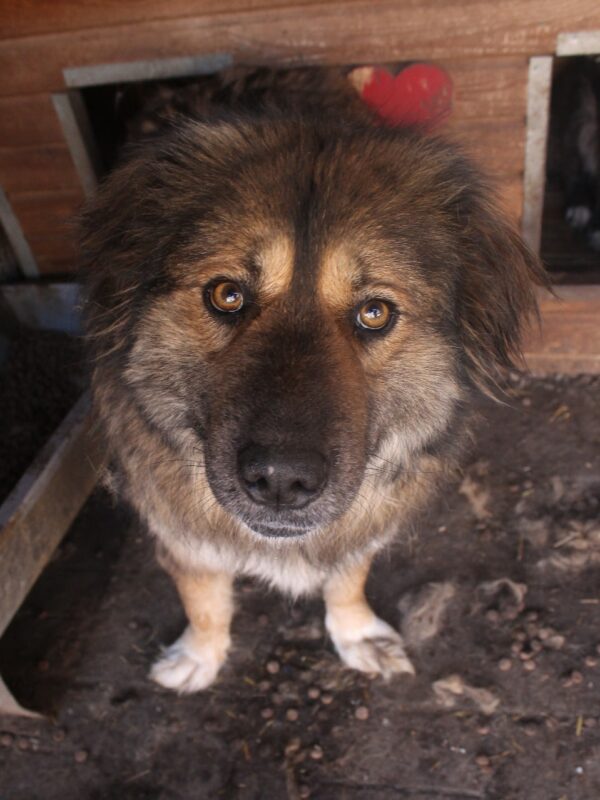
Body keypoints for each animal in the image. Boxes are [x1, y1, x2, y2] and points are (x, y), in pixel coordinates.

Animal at [79, 67, 544, 692]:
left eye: (375, 312)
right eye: (226, 295)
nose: (281, 480)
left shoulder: (360, 524)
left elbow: (347, 578)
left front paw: (357, 634)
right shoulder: (179, 530)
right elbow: (203, 598)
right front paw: (200, 655)